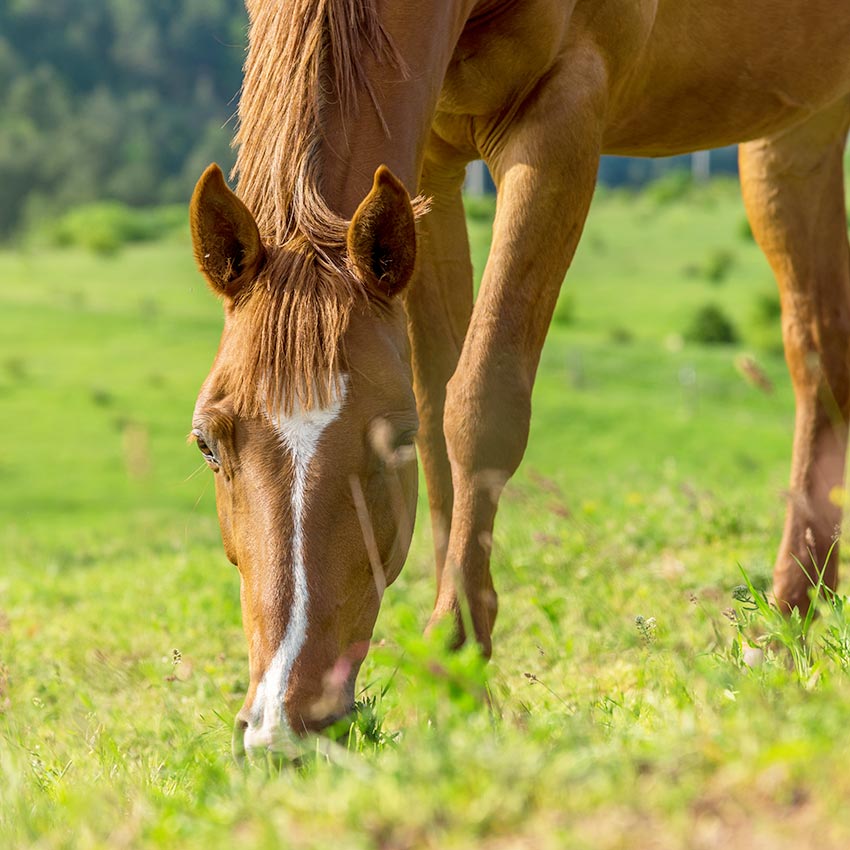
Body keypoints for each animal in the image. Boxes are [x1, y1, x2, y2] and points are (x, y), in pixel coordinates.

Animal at [189, 0, 848, 756]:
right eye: (208, 444)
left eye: (389, 443)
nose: (283, 727)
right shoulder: (429, 171)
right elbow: (440, 415)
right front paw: (462, 668)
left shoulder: (560, 118)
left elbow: (479, 405)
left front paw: (453, 668)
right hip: (800, 127)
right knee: (821, 354)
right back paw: (794, 624)